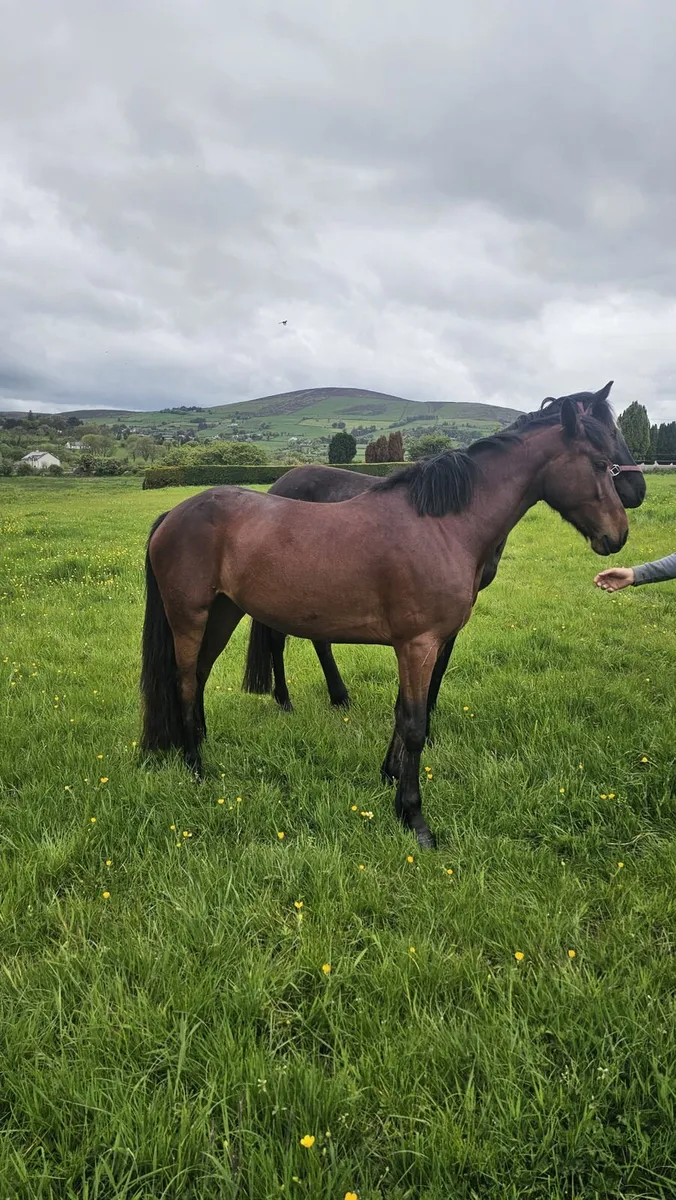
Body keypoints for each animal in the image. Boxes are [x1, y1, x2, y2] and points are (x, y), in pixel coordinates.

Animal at [243, 384, 645, 719]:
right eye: (609, 438)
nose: (637, 491)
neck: (450, 516)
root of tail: (281, 483)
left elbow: (441, 660)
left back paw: (338, 697)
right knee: (278, 639)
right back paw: (286, 702)